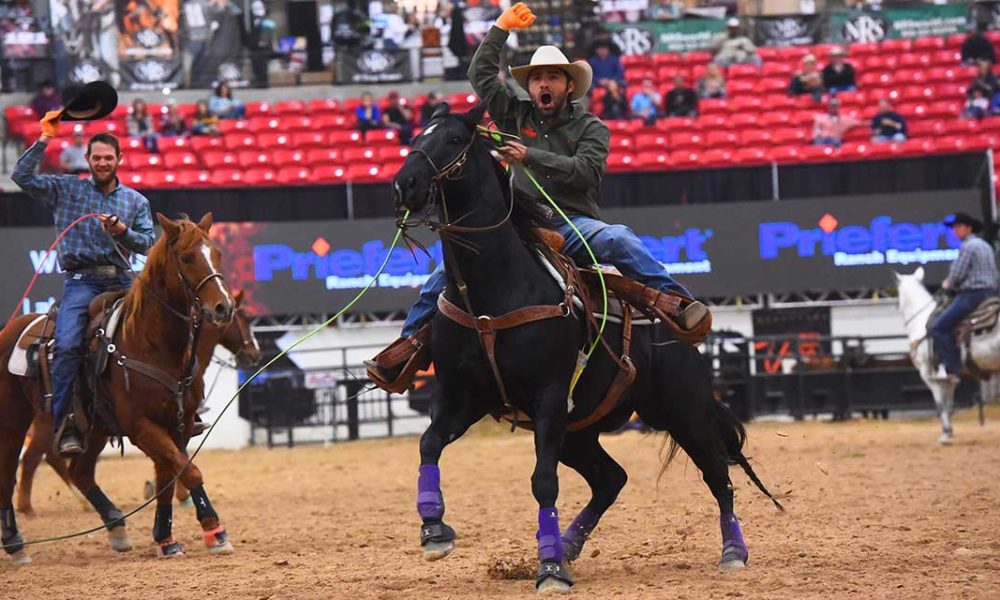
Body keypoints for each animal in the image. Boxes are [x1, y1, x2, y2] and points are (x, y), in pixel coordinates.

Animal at [1, 214, 236, 564]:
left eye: (217, 253)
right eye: (187, 258)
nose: (224, 307)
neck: (152, 345)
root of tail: (11, 328)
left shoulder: (178, 424)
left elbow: (170, 475)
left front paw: (166, 538)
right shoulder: (141, 426)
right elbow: (189, 471)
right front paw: (215, 531)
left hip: (94, 428)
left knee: (81, 472)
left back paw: (116, 526)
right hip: (14, 424)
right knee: (11, 473)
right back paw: (15, 544)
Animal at [14, 290, 262, 516]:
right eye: (243, 318)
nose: (255, 352)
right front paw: (182, 495)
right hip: (49, 422)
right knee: (34, 457)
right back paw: (27, 508)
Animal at [398, 104, 780, 596]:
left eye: (452, 140)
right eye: (415, 137)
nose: (404, 184)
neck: (493, 290)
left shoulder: (548, 397)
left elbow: (543, 482)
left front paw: (550, 571)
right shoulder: (462, 396)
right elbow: (429, 443)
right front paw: (434, 530)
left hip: (683, 411)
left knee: (718, 474)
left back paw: (733, 550)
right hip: (578, 432)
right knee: (611, 479)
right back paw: (568, 544)